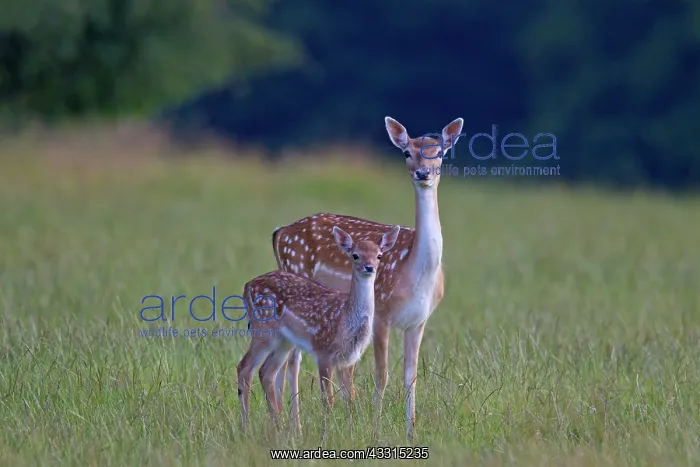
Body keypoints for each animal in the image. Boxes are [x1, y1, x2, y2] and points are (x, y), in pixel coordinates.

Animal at [236, 225, 400, 435]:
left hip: (284, 341)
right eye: (355, 255)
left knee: (266, 372)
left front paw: (352, 433)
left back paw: (279, 428)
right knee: (244, 367)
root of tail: (247, 286)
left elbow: (350, 397)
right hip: (264, 330)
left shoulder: (347, 359)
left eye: (379, 255)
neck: (346, 321)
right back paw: (246, 428)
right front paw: (326, 434)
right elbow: (328, 399)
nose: (369, 267)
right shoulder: (324, 353)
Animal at [268, 116, 463, 439]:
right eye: (406, 152)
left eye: (440, 153)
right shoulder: (381, 314)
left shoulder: (419, 321)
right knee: (292, 360)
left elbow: (411, 376)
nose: (423, 173)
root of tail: (279, 232)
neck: (416, 274)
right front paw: (375, 429)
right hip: (295, 278)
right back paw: (293, 427)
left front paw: (411, 432)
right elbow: (381, 375)